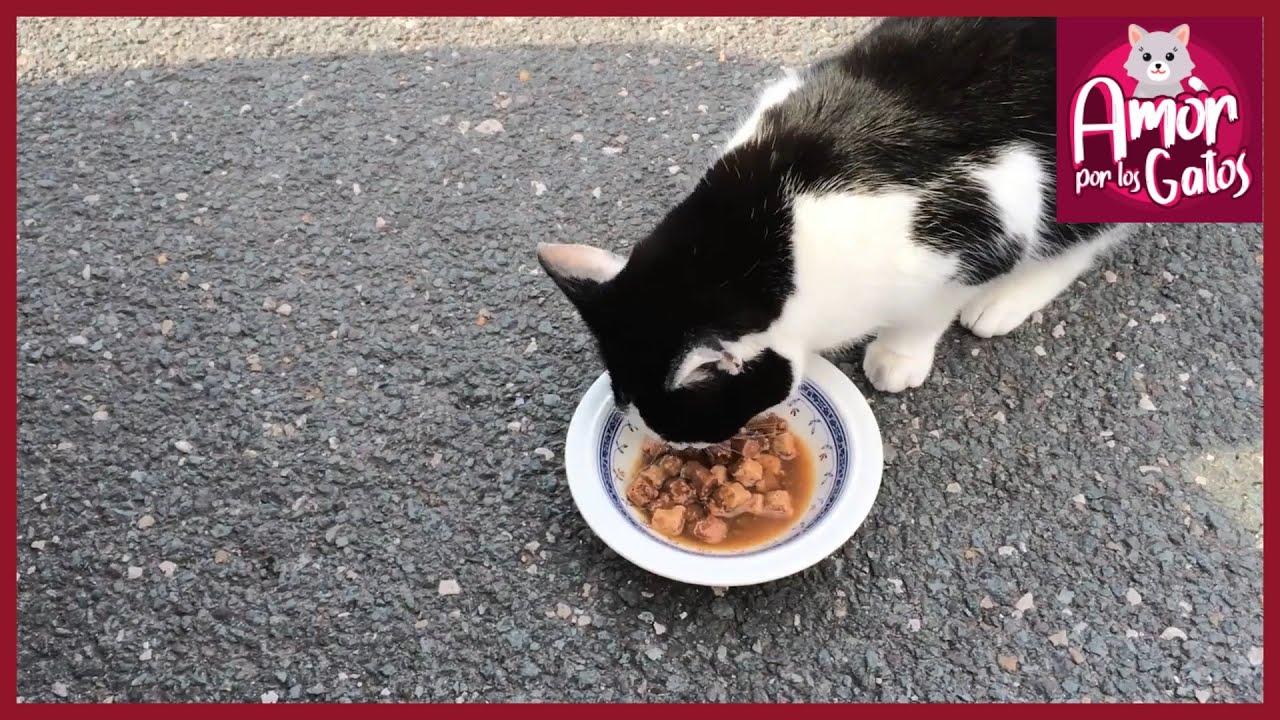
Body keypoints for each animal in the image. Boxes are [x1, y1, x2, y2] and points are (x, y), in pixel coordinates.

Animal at [537, 16, 1121, 443]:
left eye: (691, 425)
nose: (676, 448)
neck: (768, 229)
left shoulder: (994, 212)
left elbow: (930, 308)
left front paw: (899, 355)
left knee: (1087, 236)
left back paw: (1008, 299)